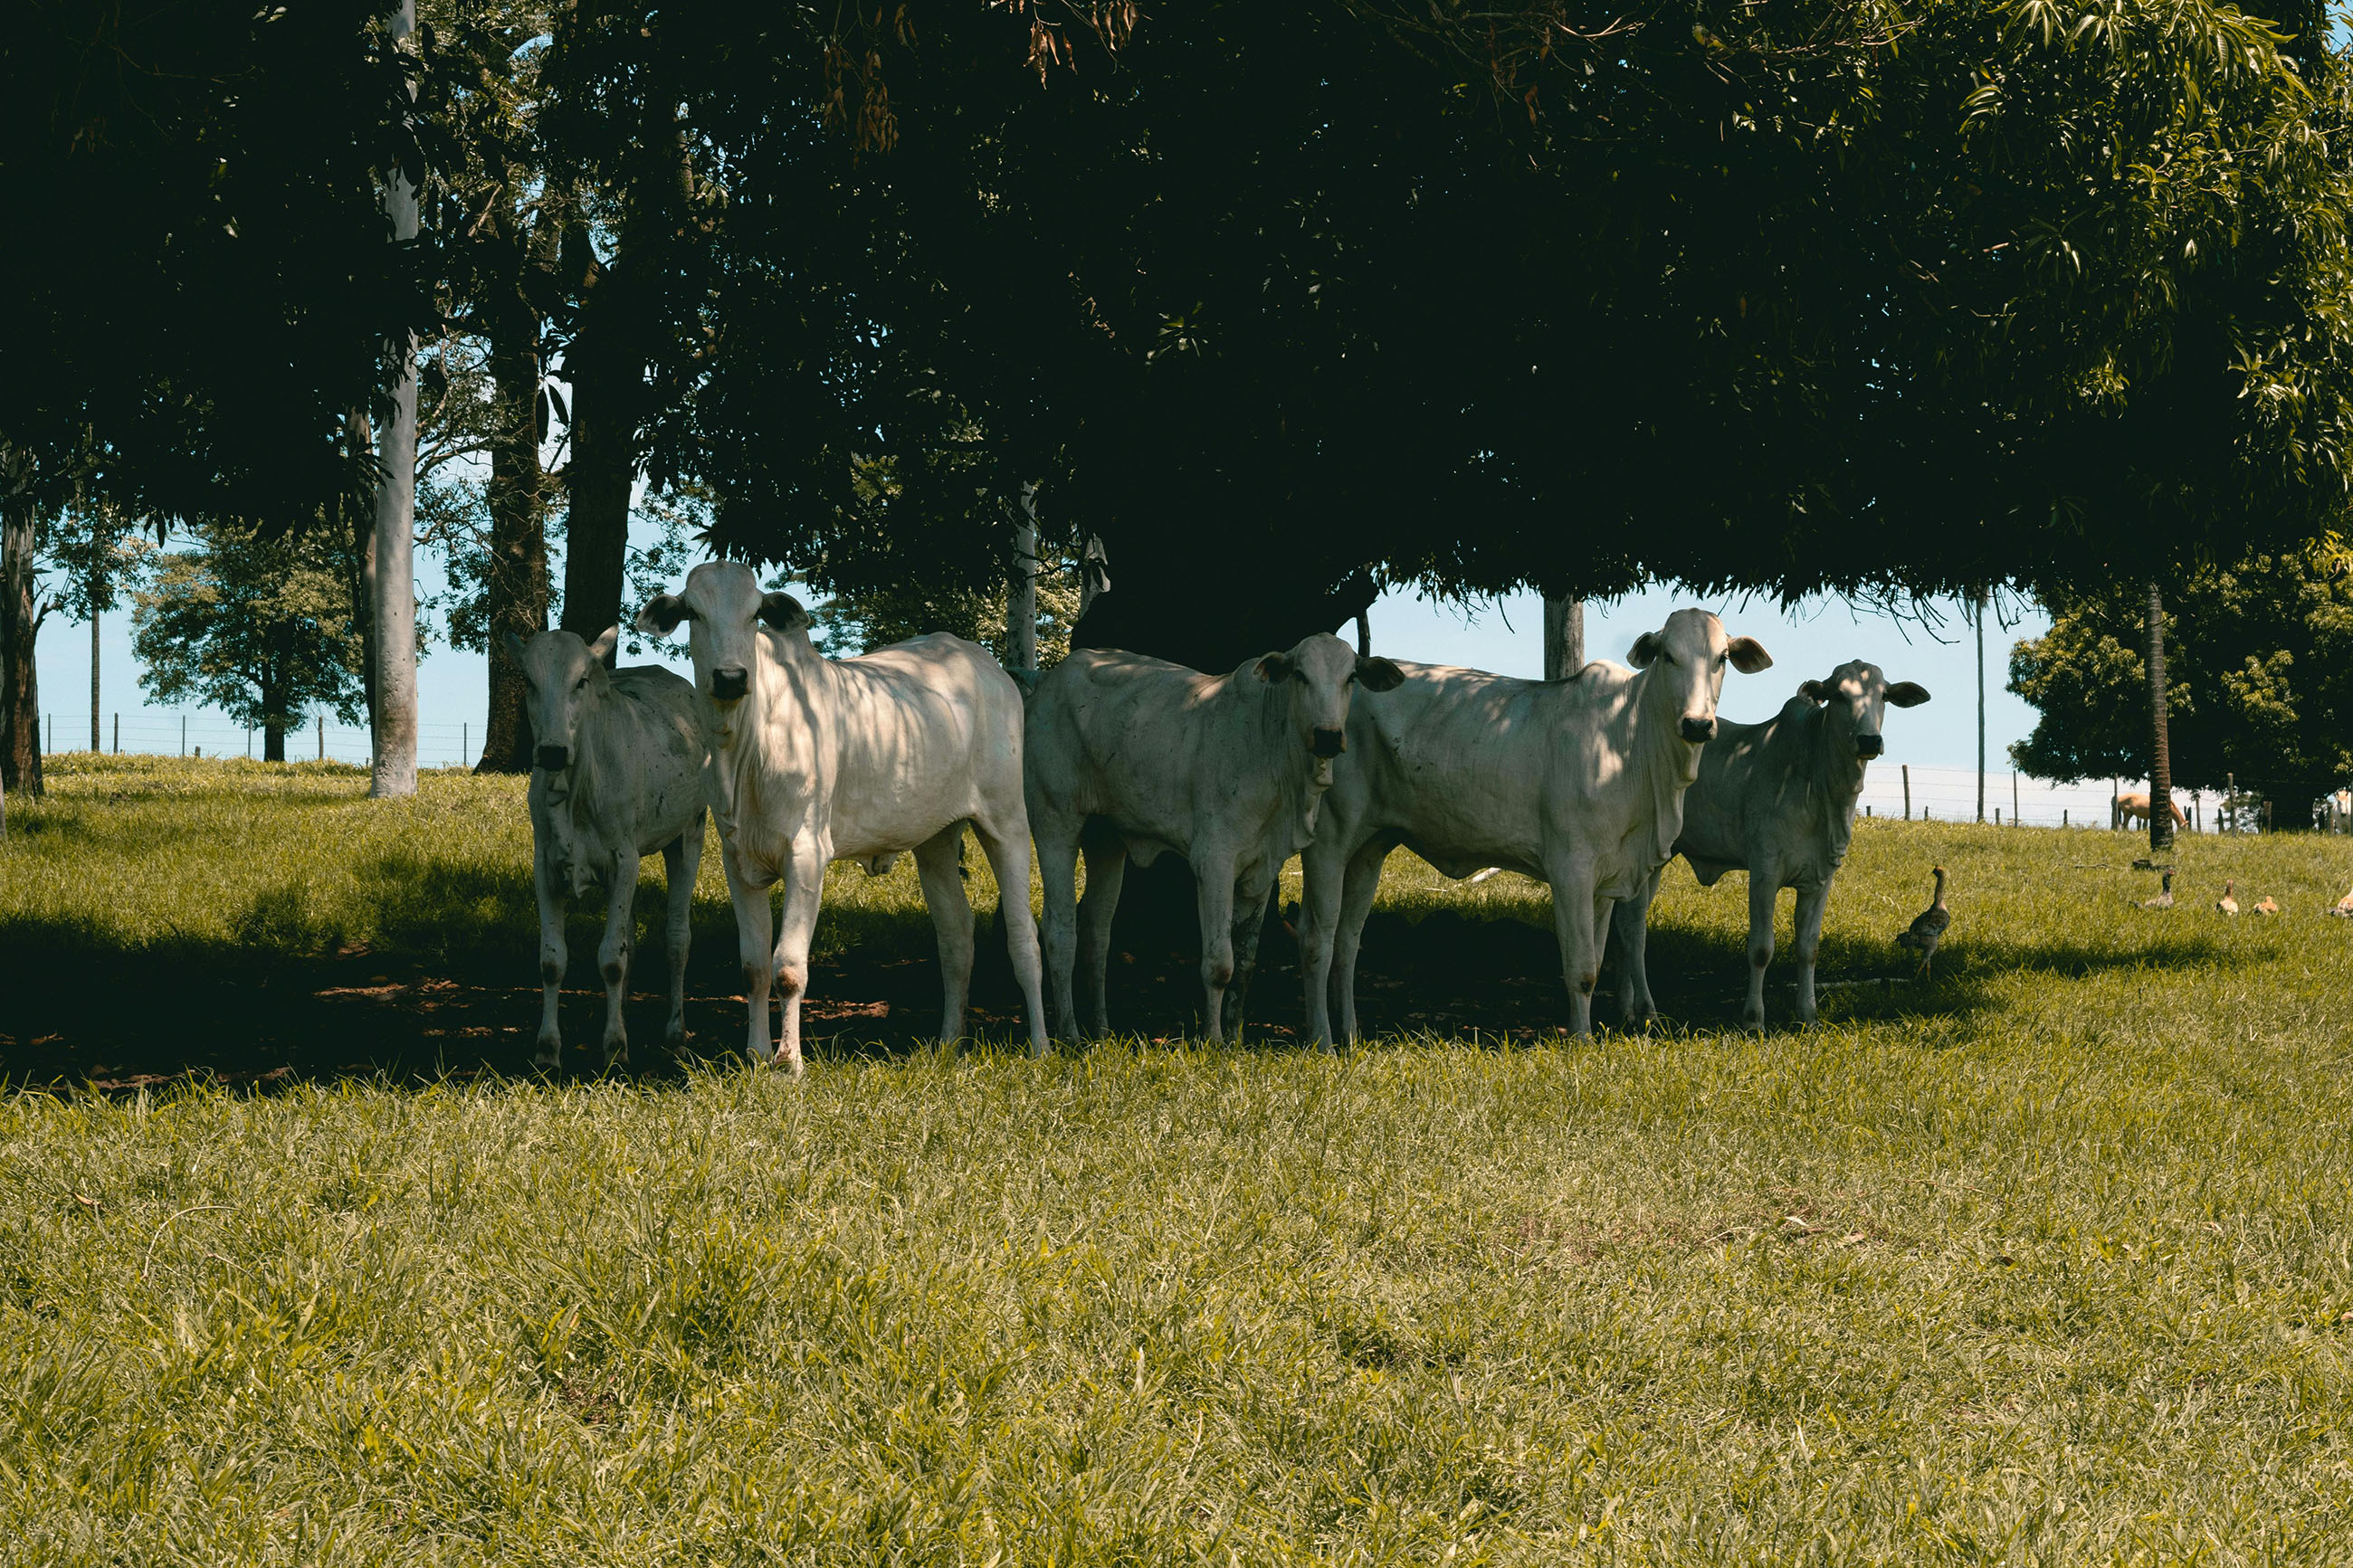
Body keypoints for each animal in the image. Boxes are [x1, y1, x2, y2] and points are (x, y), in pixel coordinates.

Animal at [510, 627, 708, 1071]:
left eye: (581, 681)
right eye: (529, 681)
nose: (551, 751)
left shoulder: (624, 860)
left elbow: (611, 960)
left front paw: (615, 1049)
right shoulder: (545, 866)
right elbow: (553, 960)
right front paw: (548, 1050)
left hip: (689, 833)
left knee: (678, 938)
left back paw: (676, 1035)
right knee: (629, 938)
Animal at [636, 562, 1046, 1072]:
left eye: (755, 614)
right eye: (693, 612)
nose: (730, 676)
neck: (742, 752)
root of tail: (990, 668)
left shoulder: (807, 853)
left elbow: (788, 968)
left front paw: (788, 1063)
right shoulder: (737, 860)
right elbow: (754, 967)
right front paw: (755, 1054)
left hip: (1006, 820)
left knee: (1023, 937)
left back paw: (1041, 1045)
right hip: (935, 837)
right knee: (956, 936)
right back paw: (950, 1043)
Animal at [1025, 635, 1404, 1042]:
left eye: (1351, 678)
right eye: (1300, 675)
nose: (1328, 736)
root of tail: (1047, 685)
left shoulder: (1263, 869)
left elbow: (1246, 962)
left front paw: (1236, 1037)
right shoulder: (1214, 861)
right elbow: (1220, 963)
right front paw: (1214, 1039)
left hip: (1105, 840)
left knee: (1097, 935)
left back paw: (1102, 1030)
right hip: (1054, 822)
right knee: (1059, 930)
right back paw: (1070, 1033)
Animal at [1298, 608, 1773, 1043]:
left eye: (1721, 658)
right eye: (1668, 656)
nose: (1697, 724)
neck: (1631, 740)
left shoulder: (1606, 879)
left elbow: (1597, 960)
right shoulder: (1571, 868)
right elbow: (1581, 969)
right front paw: (1581, 1041)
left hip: (1371, 845)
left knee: (1348, 939)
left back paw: (1350, 1034)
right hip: (1328, 840)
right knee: (1318, 937)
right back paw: (1321, 1037)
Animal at [1606, 659, 1929, 1031]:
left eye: (1884, 696)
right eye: (1839, 695)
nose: (1869, 740)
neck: (1818, 785)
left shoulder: (1820, 879)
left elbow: (1808, 948)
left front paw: (1808, 1016)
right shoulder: (1764, 871)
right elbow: (1762, 948)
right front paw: (1753, 1019)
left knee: (1625, 924)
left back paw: (1626, 1008)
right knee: (1633, 927)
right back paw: (1646, 1010)